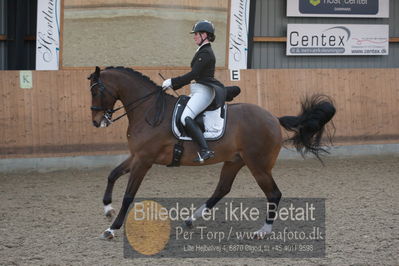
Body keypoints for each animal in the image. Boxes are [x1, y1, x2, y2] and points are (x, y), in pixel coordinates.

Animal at [89, 66, 336, 239]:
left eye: (97, 90)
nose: (96, 121)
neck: (149, 111)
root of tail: (273, 118)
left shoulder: (144, 160)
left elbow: (129, 195)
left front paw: (112, 228)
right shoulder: (137, 156)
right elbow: (112, 174)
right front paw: (107, 208)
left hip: (258, 165)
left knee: (273, 194)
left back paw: (263, 231)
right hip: (235, 161)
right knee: (222, 188)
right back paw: (191, 219)